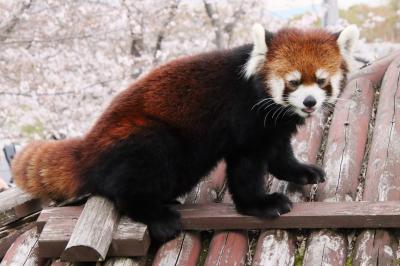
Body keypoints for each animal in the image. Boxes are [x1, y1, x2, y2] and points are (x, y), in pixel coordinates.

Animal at [11, 23, 360, 242]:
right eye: (293, 81)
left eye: (321, 80)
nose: (310, 102)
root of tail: (88, 149)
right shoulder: (243, 117)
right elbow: (246, 167)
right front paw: (260, 204)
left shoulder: (273, 125)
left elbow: (279, 154)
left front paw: (302, 171)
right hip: (144, 138)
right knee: (137, 173)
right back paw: (156, 214)